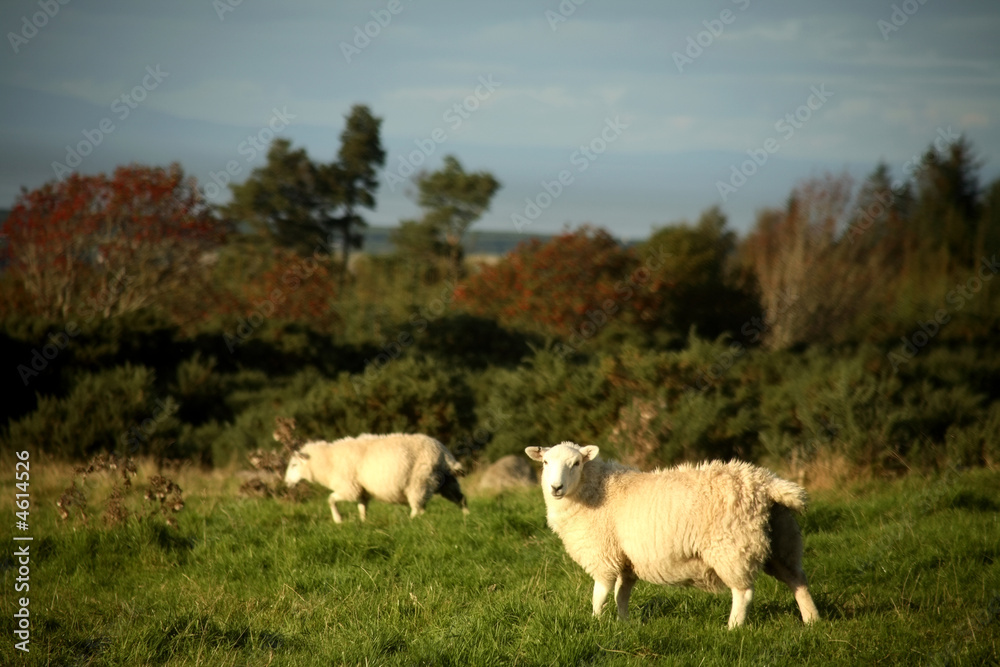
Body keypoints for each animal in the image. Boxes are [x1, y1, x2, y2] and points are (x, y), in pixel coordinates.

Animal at [285, 433, 468, 522]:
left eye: (294, 465)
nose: (286, 483)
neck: (328, 461)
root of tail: (445, 454)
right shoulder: (361, 491)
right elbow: (362, 508)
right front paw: (363, 522)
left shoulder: (349, 488)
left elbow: (330, 499)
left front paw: (338, 520)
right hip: (446, 482)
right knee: (461, 498)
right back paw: (467, 516)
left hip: (419, 482)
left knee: (418, 508)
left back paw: (409, 521)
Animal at [525, 442, 820, 628]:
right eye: (546, 462)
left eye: (576, 463)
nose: (556, 487)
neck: (597, 488)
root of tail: (764, 482)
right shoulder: (627, 560)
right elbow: (622, 594)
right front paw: (624, 624)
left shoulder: (603, 555)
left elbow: (601, 593)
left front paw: (596, 623)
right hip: (782, 540)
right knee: (798, 580)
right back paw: (812, 620)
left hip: (733, 546)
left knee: (743, 592)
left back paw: (733, 628)